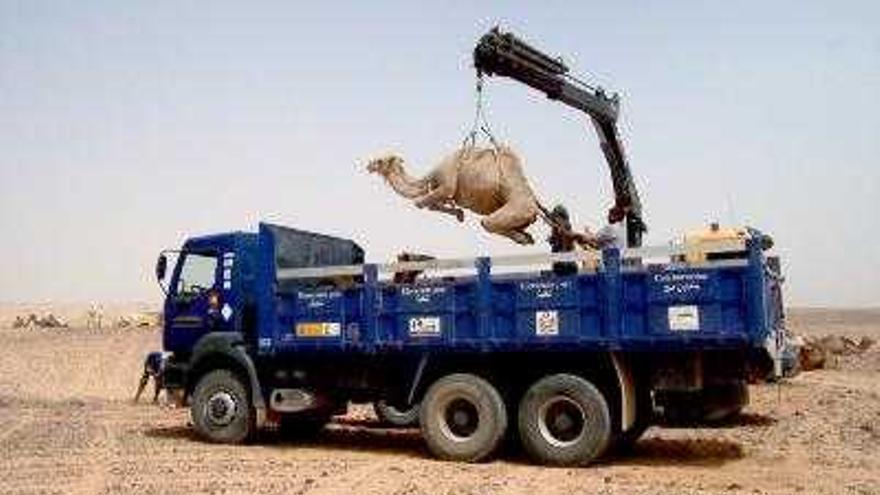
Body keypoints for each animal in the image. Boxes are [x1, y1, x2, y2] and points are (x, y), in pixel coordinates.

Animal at [364, 144, 544, 245]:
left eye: (380, 161)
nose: (369, 165)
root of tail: (535, 208)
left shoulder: (446, 183)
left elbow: (421, 203)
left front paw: (459, 214)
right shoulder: (439, 188)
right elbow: (430, 204)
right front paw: (459, 214)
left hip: (518, 208)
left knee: (487, 222)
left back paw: (523, 239)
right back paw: (527, 237)